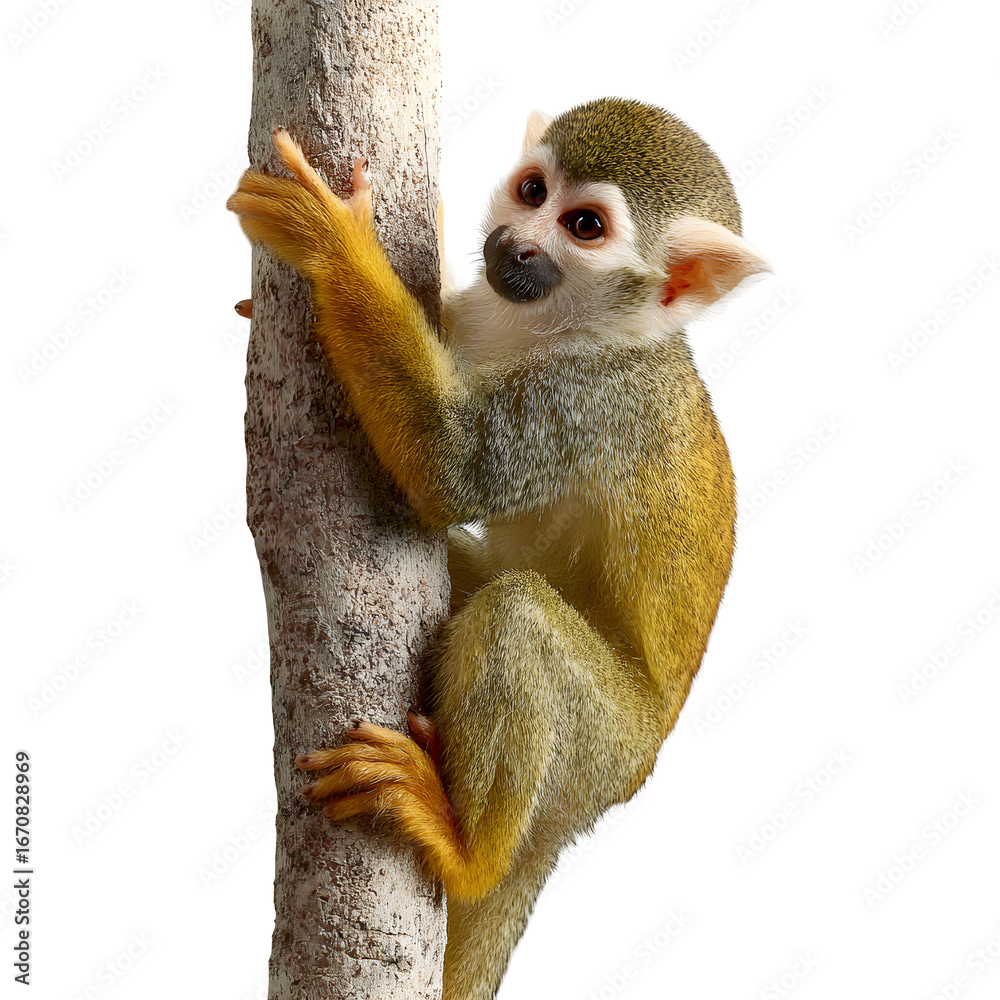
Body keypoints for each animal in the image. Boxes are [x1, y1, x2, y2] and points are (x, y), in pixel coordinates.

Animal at [227, 97, 769, 1000]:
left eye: (584, 227)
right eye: (532, 189)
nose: (515, 243)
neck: (562, 327)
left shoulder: (590, 400)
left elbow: (452, 470)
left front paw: (334, 245)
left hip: (602, 750)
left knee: (515, 613)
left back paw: (466, 854)